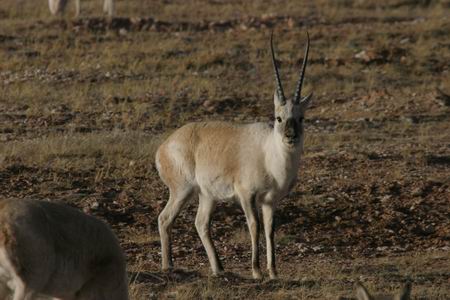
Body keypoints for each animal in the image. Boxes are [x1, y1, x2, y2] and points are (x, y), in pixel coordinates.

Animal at [155, 31, 312, 278]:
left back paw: (219, 269)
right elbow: (255, 227)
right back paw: (168, 265)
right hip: (182, 191)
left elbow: (270, 230)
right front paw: (257, 271)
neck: (269, 154)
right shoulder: (247, 195)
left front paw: (273, 272)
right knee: (164, 218)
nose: (291, 137)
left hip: (207, 196)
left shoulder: (270, 201)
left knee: (201, 223)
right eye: (278, 117)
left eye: (301, 118)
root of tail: (164, 146)